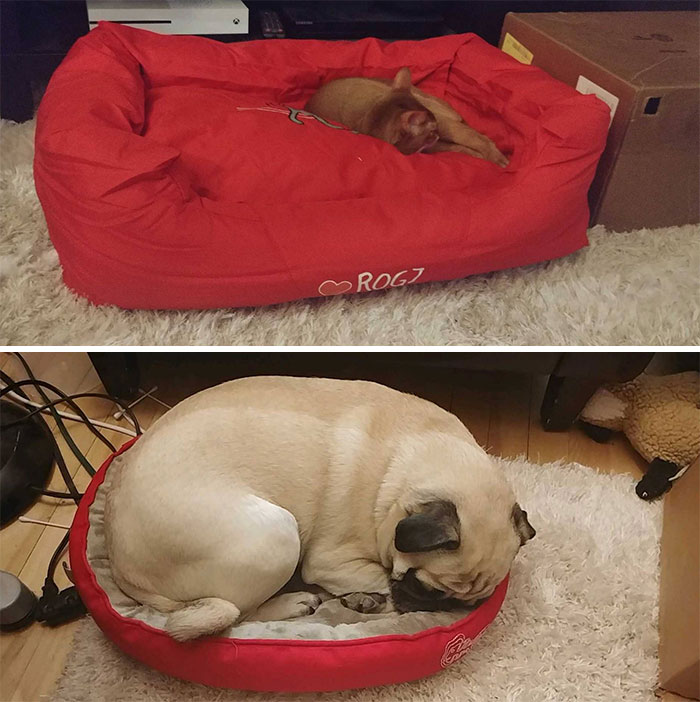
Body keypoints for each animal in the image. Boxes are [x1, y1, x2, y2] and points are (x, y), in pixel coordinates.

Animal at [104, 380, 532, 644]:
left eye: (473, 603)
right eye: (426, 587)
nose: (446, 608)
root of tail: (126, 571)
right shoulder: (331, 560)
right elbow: (377, 577)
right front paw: (369, 595)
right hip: (278, 534)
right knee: (241, 613)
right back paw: (296, 601)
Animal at [304, 68, 506, 168]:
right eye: (431, 131)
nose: (436, 133)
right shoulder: (433, 146)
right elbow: (460, 149)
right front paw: (475, 156)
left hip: (448, 123)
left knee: (482, 138)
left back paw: (499, 159)